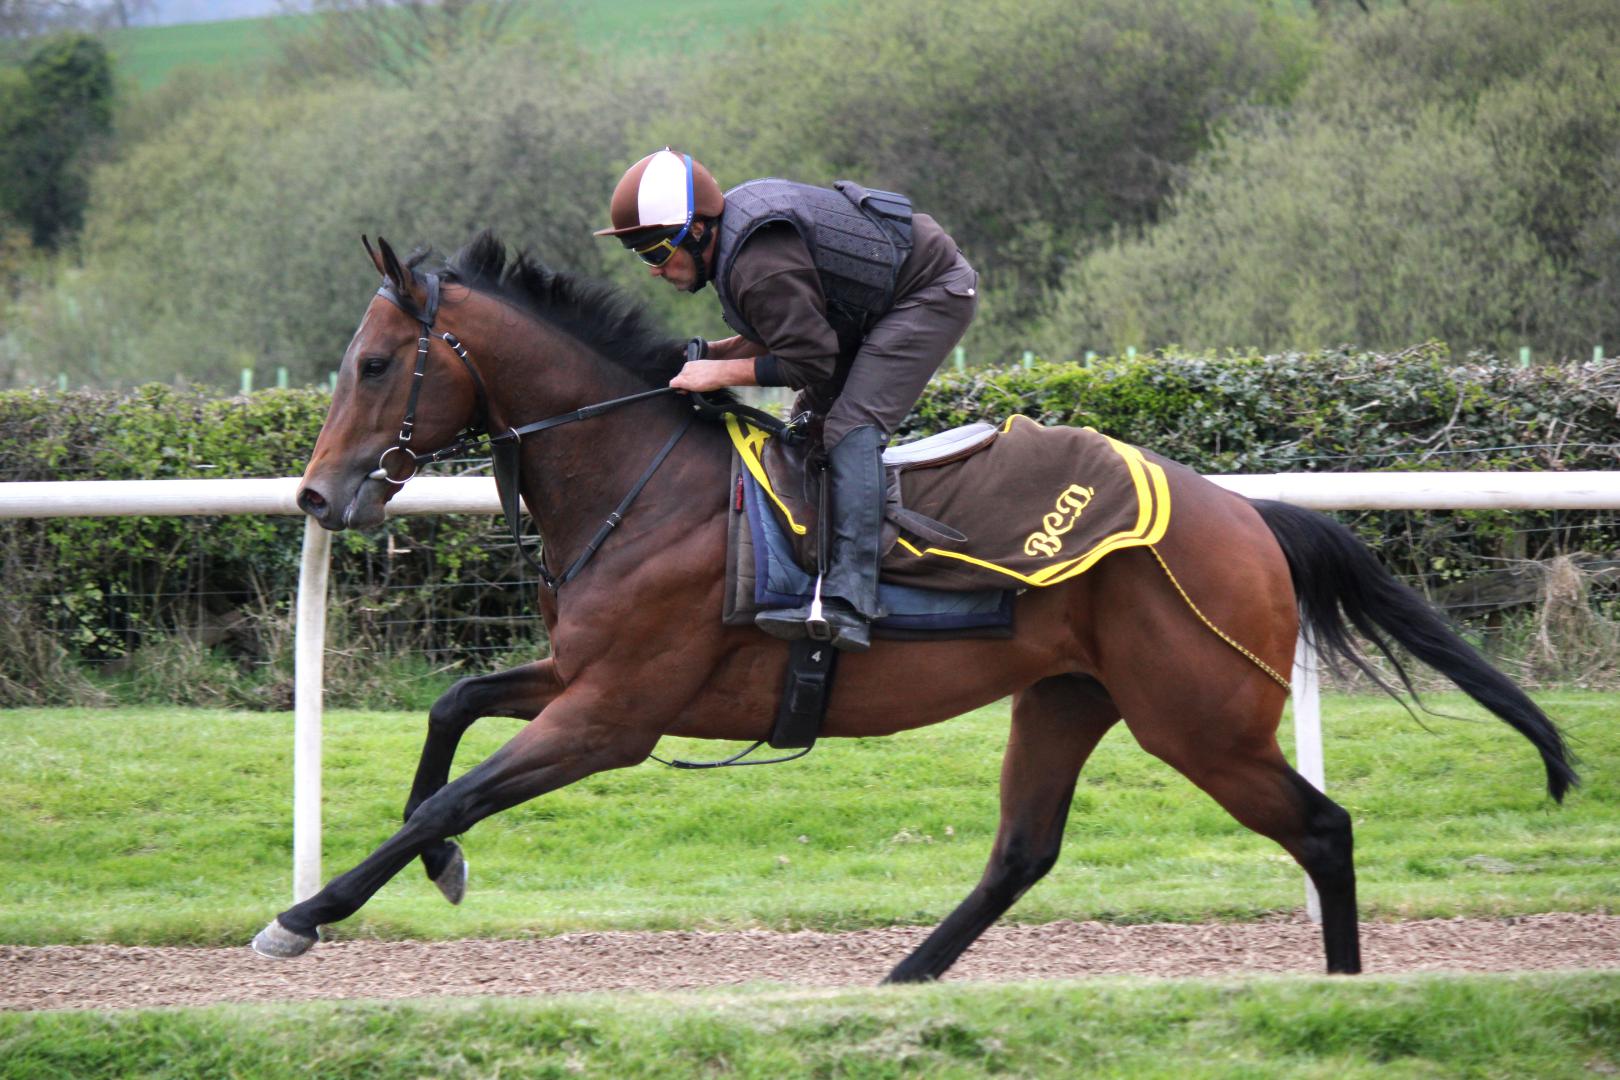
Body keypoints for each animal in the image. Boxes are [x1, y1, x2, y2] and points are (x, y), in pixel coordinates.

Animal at [254, 231, 1577, 979]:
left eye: (374, 364)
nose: (316, 495)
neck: (647, 483)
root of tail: (1251, 515)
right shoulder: (582, 678)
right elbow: (453, 706)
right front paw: (439, 868)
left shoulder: (615, 714)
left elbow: (460, 786)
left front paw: (310, 911)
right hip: (1070, 697)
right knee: (1023, 852)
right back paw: (901, 978)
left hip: (1198, 720)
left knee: (1323, 830)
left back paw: (1343, 986)